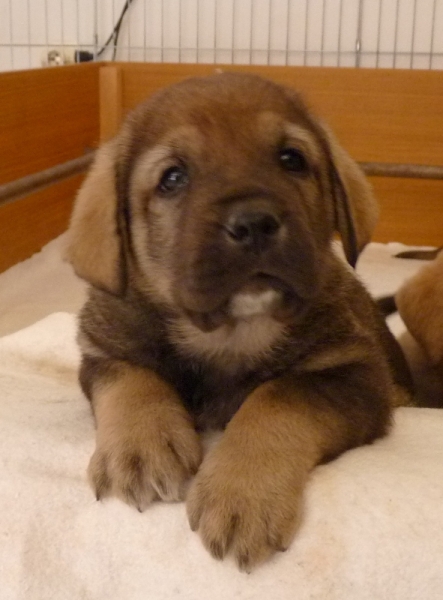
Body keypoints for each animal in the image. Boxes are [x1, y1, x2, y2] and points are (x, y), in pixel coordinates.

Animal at [66, 72, 412, 568]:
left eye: (292, 159)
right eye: (173, 178)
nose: (253, 224)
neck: (230, 334)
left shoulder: (357, 375)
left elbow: (276, 399)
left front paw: (243, 493)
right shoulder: (103, 351)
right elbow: (134, 382)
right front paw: (140, 447)